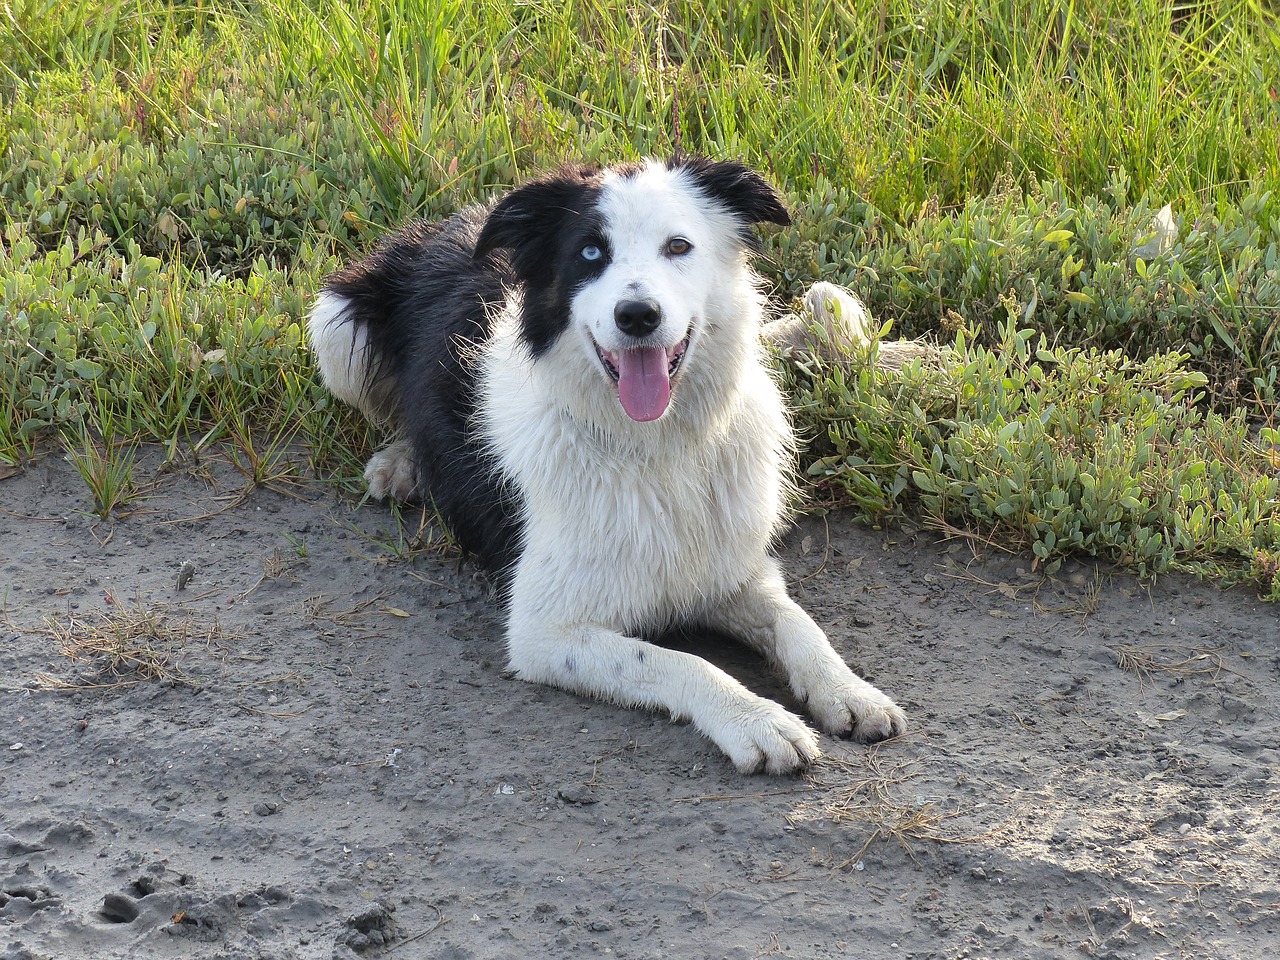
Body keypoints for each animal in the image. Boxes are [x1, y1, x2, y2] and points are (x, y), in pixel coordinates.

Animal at [307, 156, 911, 773]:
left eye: (678, 246)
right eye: (590, 253)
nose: (637, 315)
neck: (656, 449)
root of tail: (459, 218)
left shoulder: (732, 572)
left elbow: (797, 624)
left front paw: (848, 691)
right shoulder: (543, 634)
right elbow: (682, 662)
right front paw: (757, 721)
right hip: (334, 325)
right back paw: (402, 462)